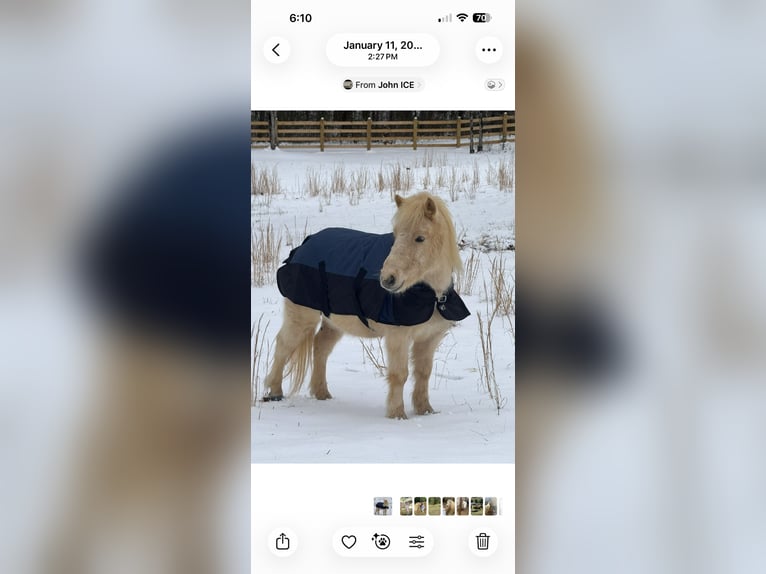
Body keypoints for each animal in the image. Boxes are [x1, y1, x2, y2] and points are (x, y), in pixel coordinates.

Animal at [262, 192, 467, 419]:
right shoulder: (398, 337)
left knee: (320, 347)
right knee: (284, 346)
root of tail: (303, 246)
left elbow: (423, 373)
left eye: (420, 238)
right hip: (301, 317)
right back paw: (275, 392)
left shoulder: (430, 338)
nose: (388, 280)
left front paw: (425, 411)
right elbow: (400, 374)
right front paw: (397, 414)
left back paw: (322, 393)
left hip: (333, 322)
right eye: (396, 235)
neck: (431, 296)